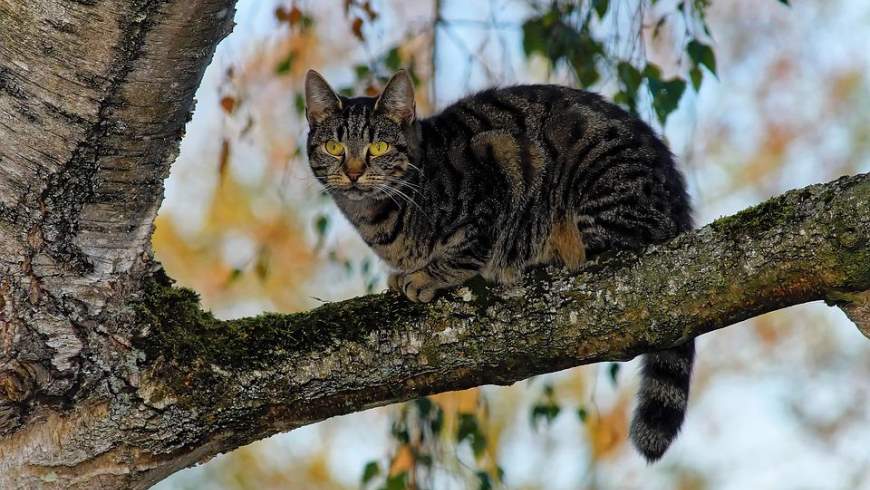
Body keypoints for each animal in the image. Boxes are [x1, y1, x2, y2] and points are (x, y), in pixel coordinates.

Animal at [304, 69, 696, 464]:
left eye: (379, 148)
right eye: (334, 147)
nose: (354, 173)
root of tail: (681, 210)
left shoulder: (493, 166)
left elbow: (467, 247)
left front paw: (426, 276)